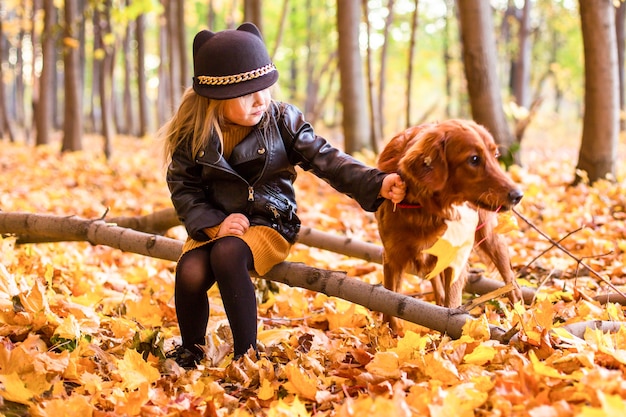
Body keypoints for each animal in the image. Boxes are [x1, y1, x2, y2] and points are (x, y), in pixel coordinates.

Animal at [376, 118, 520, 330]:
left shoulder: (454, 257)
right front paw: (387, 333)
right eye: (474, 159)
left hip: (491, 238)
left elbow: (452, 305)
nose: (518, 195)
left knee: (511, 281)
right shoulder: (393, 256)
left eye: (495, 155)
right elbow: (388, 301)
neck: (425, 209)